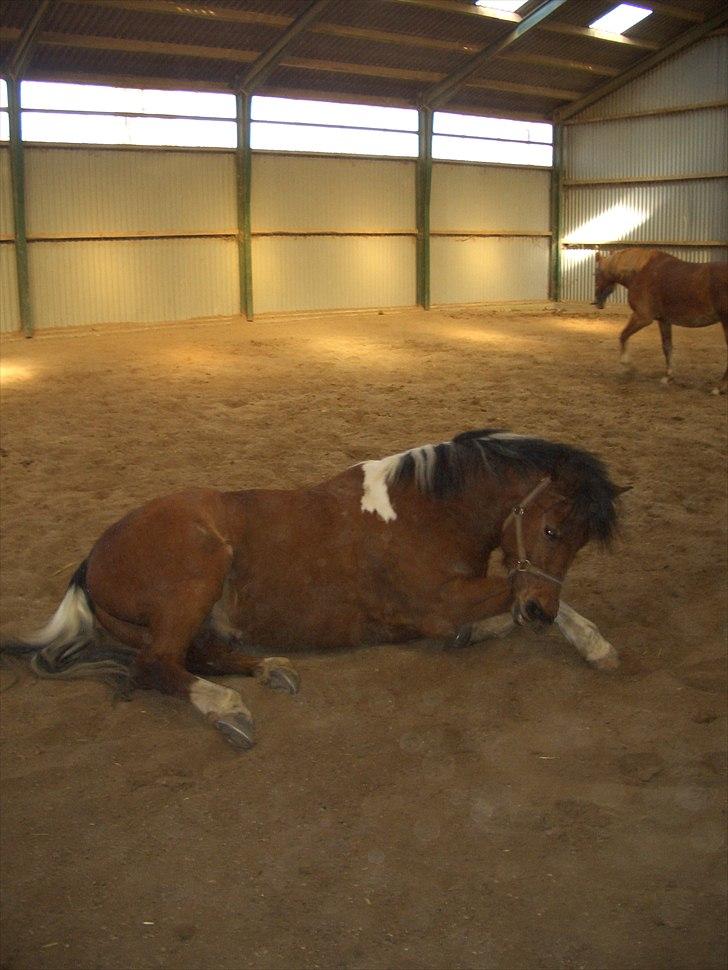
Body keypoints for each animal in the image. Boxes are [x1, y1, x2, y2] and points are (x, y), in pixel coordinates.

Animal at [1, 430, 627, 750]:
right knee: (156, 664)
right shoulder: (440, 603)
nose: (538, 612)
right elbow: (508, 595)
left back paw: (269, 669)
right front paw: (592, 641)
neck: (424, 511)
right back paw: (227, 708)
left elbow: (505, 609)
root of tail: (92, 558)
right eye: (550, 530)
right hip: (201, 569)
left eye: (578, 543)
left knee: (193, 653)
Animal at [593, 248, 728, 394]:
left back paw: (719, 388)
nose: (596, 302)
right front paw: (668, 377)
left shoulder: (642, 317)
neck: (641, 271)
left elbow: (623, 336)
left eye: (596, 274)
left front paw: (627, 368)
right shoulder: (664, 320)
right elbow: (667, 347)